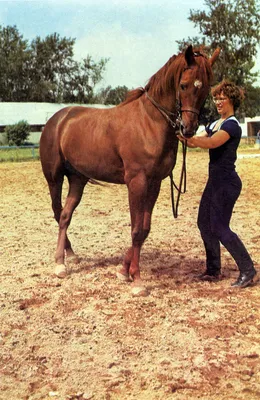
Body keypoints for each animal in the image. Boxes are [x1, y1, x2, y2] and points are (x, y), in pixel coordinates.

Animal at [40, 46, 219, 294]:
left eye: (205, 88)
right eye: (183, 85)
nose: (188, 128)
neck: (150, 122)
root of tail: (56, 120)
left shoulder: (155, 183)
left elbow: (144, 229)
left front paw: (125, 271)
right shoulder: (137, 182)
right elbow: (135, 229)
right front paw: (137, 281)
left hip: (78, 179)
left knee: (65, 215)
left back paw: (71, 256)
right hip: (54, 178)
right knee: (58, 213)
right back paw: (60, 264)